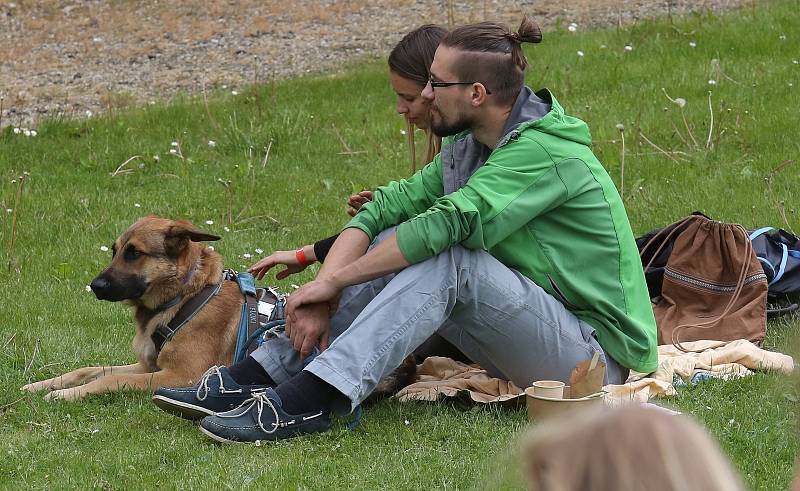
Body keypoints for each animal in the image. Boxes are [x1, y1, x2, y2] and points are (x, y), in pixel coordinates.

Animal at [21, 215, 416, 404]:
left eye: (134, 253)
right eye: (115, 251)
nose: (95, 286)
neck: (184, 297)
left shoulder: (177, 376)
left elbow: (109, 379)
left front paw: (64, 395)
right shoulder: (149, 366)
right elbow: (89, 369)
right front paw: (42, 384)